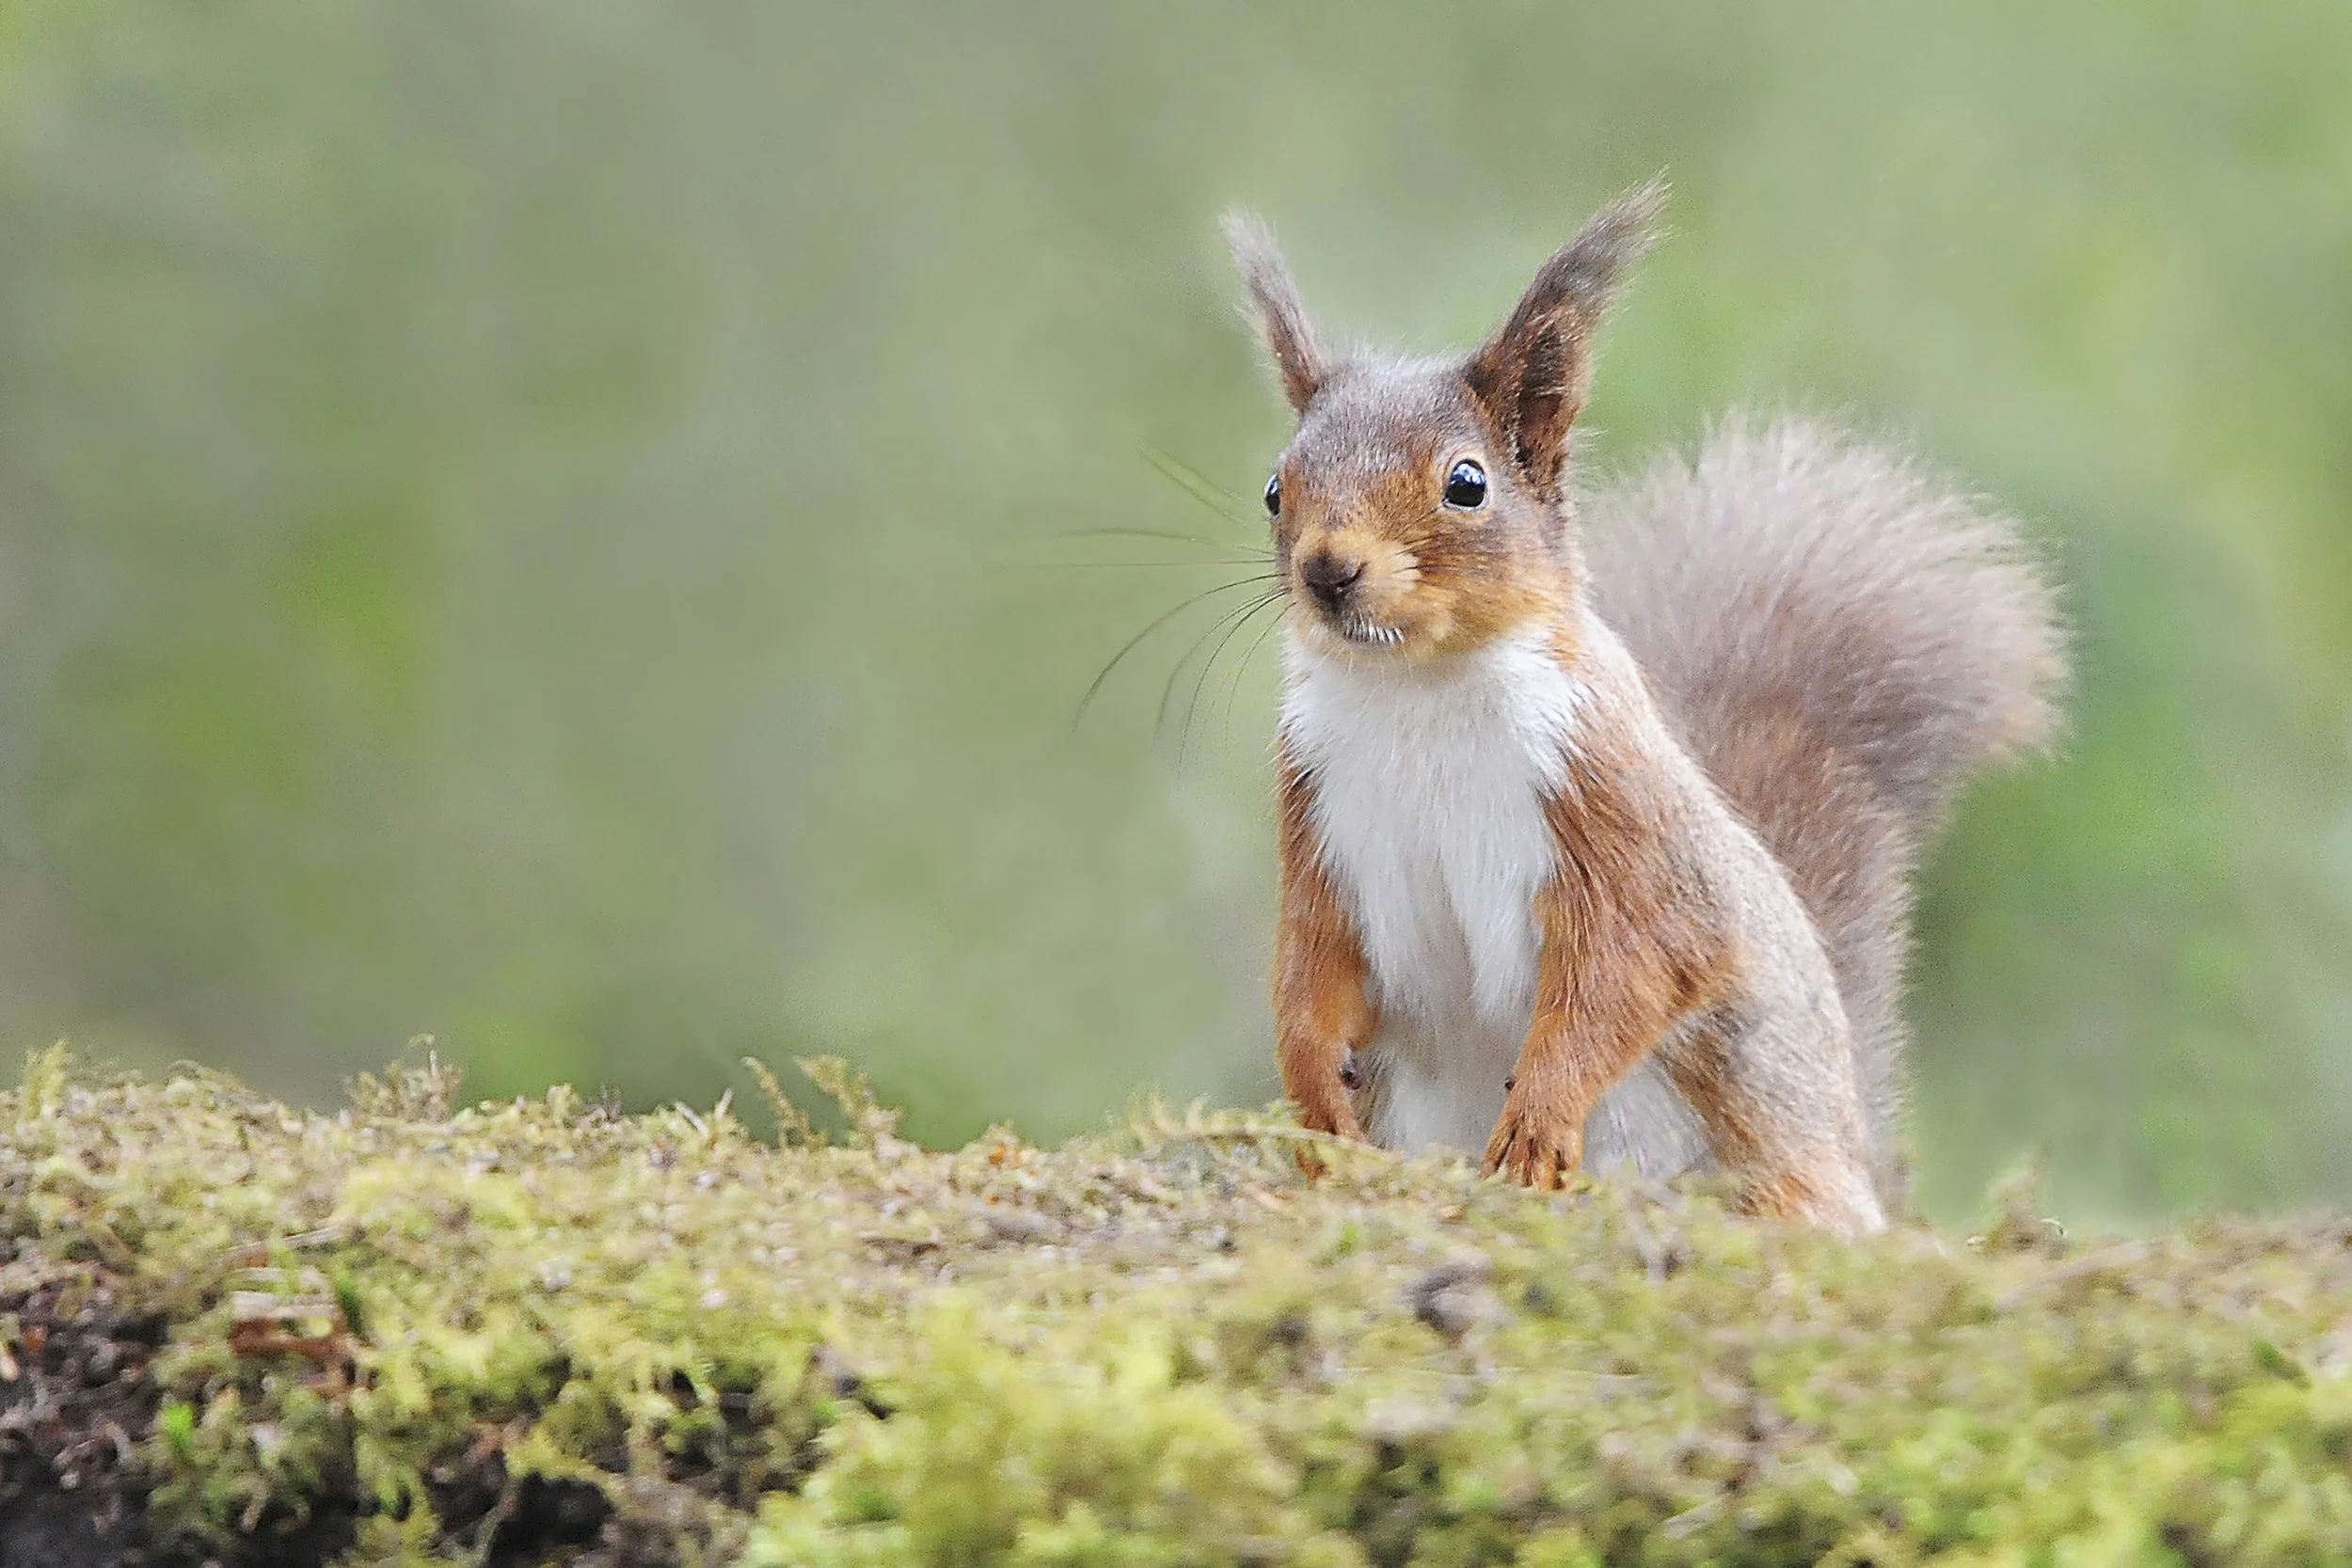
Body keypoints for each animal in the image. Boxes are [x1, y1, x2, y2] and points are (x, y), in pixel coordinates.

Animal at [1222, 182, 2064, 1234]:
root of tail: (1857, 1167)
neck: (1418, 687)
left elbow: (1637, 963)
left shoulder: (1611, 799)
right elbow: (1310, 966)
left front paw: (1538, 1118)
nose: (1327, 570)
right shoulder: (1319, 823)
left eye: (1467, 483)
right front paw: (1314, 1101)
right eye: (1272, 488)